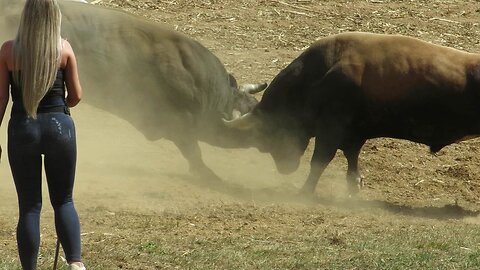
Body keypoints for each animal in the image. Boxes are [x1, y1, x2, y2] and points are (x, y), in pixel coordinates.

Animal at [225, 32, 480, 194]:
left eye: (267, 137)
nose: (286, 168)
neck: (321, 74)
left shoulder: (330, 131)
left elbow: (320, 162)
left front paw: (305, 191)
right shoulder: (352, 134)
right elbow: (351, 157)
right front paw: (355, 185)